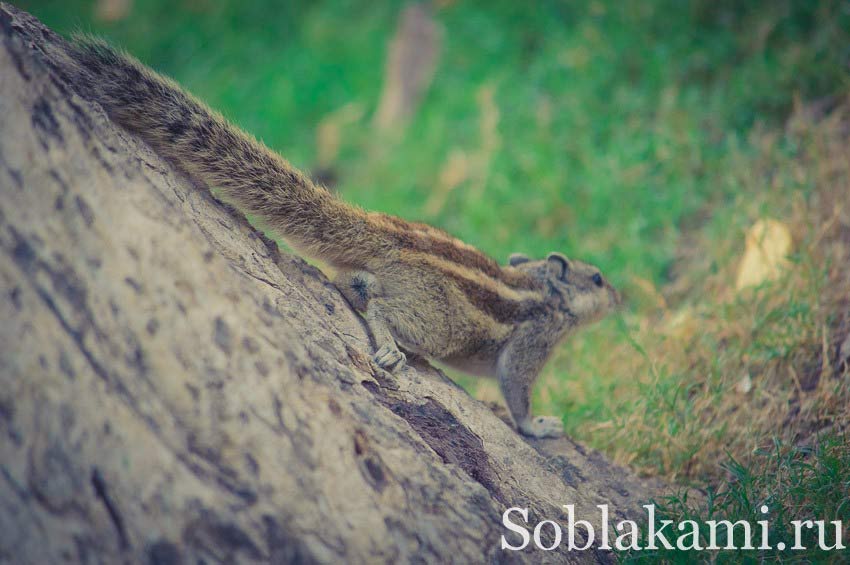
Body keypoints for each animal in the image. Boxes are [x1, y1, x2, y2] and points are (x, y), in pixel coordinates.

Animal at [61, 36, 616, 440]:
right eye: (597, 278)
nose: (620, 297)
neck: (540, 290)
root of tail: (387, 231)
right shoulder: (534, 340)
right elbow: (516, 388)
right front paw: (538, 426)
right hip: (437, 322)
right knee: (382, 307)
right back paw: (390, 349)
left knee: (357, 284)